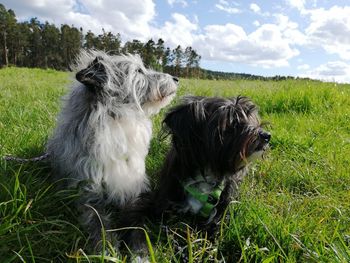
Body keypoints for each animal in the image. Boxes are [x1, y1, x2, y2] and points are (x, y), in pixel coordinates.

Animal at [46, 49, 178, 248]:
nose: (176, 79)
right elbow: (98, 223)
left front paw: (140, 250)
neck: (117, 121)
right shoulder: (88, 193)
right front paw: (106, 248)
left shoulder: (133, 187)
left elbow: (136, 224)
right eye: (138, 71)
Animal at [118, 96, 270, 253]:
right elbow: (136, 221)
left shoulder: (219, 214)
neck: (207, 172)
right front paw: (139, 247)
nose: (266, 136)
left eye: (252, 119)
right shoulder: (158, 203)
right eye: (231, 122)